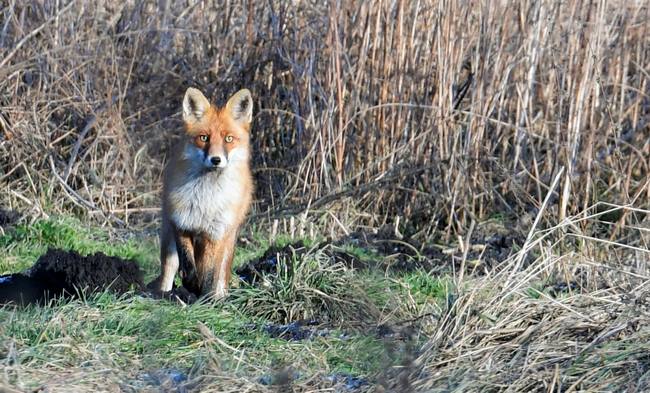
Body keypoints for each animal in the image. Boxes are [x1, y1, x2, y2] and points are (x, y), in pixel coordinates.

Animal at [149, 87, 253, 298]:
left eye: (229, 139)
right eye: (204, 138)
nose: (216, 159)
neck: (205, 201)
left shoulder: (215, 234)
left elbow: (210, 272)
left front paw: (206, 297)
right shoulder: (181, 222)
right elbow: (188, 263)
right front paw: (191, 285)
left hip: (228, 237)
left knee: (220, 273)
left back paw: (218, 296)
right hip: (168, 240)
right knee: (169, 270)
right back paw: (165, 294)